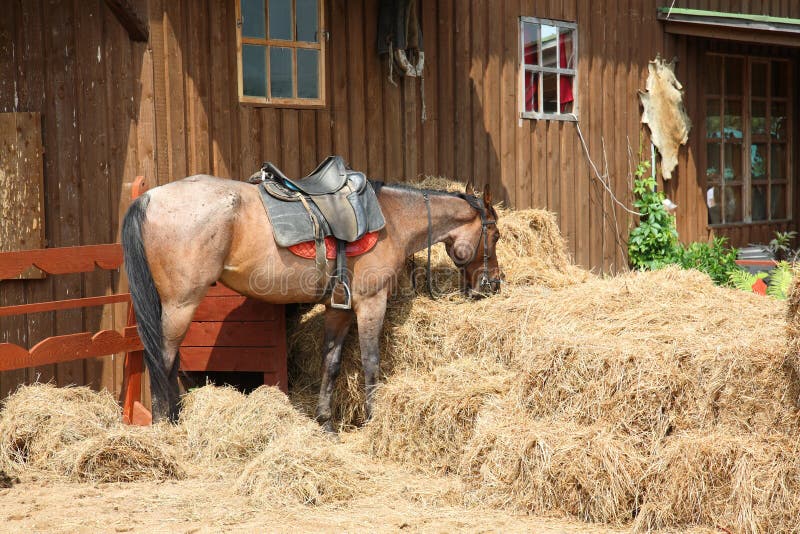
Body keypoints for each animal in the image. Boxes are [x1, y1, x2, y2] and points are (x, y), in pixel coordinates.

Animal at [120, 177, 500, 432]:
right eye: (495, 235)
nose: (492, 284)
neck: (391, 219)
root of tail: (150, 197)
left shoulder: (338, 309)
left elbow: (330, 363)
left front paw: (325, 422)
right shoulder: (370, 303)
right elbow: (371, 362)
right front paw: (372, 418)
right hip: (180, 304)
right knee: (163, 360)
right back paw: (167, 423)